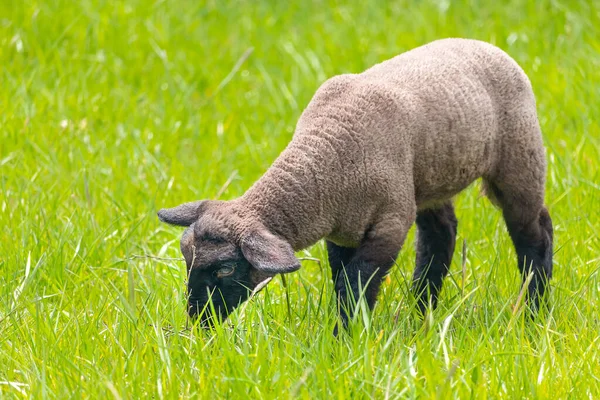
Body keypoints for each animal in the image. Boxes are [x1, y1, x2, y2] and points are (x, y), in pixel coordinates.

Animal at [158, 37, 552, 332]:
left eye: (225, 268)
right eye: (186, 258)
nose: (198, 321)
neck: (324, 162)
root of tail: (486, 45)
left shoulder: (389, 222)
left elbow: (356, 285)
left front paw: (344, 338)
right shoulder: (344, 231)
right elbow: (341, 282)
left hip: (519, 155)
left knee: (534, 231)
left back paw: (535, 311)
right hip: (428, 178)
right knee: (441, 235)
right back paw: (421, 312)